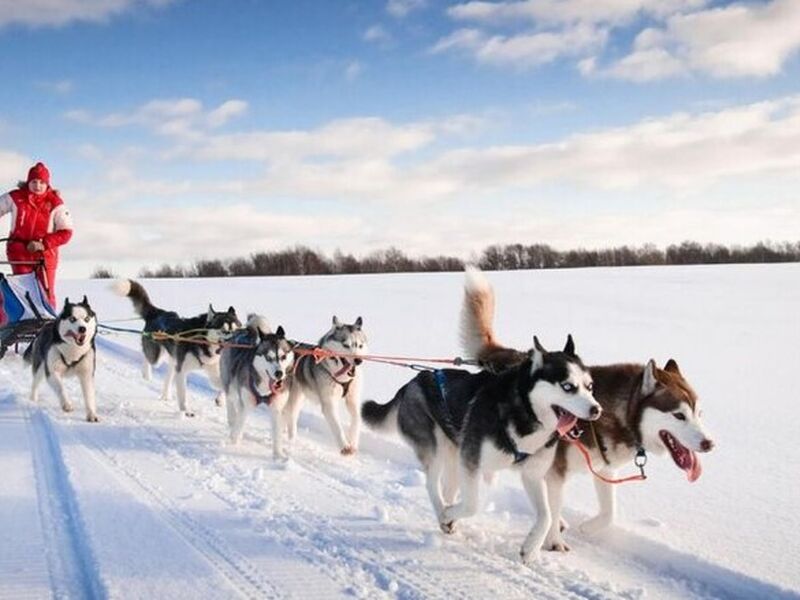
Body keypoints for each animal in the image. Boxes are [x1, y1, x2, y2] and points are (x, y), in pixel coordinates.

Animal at [220, 316, 296, 458]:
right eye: (269, 358)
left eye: (283, 356)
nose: (279, 373)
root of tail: (244, 331)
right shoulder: (246, 404)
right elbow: (238, 428)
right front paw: (233, 446)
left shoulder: (276, 409)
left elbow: (277, 435)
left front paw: (278, 456)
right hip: (230, 383)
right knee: (230, 400)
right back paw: (232, 418)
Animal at [288, 318, 368, 454]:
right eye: (346, 345)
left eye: (360, 345)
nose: (358, 360)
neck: (342, 378)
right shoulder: (329, 404)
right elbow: (337, 426)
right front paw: (344, 446)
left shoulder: (352, 400)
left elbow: (356, 419)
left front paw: (353, 441)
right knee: (290, 414)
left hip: (300, 396)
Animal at [362, 332, 600, 564]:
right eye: (568, 386)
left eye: (590, 387)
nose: (596, 409)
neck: (525, 411)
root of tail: (413, 382)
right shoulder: (471, 461)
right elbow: (473, 504)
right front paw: (448, 515)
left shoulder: (531, 474)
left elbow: (546, 515)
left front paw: (531, 548)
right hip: (436, 449)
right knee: (432, 484)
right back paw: (443, 513)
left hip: (456, 455)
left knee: (449, 488)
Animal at [460, 268, 716, 552]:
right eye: (679, 415)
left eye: (699, 414)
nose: (709, 444)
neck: (614, 414)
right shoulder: (555, 473)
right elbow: (552, 508)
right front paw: (554, 541)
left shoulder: (605, 470)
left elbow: (609, 513)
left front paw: (586, 528)